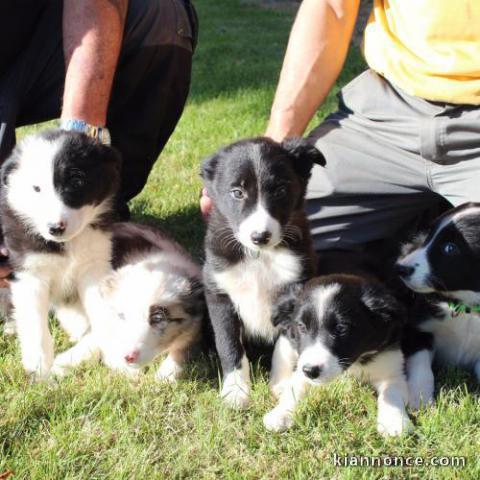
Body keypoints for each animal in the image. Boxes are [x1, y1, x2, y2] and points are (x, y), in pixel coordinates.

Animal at [51, 222, 205, 382]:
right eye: (122, 316)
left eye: (158, 318)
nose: (128, 357)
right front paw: (62, 365)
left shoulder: (196, 325)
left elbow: (183, 347)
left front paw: (168, 373)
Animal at [201, 136, 324, 408]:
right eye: (237, 193)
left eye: (280, 191)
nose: (260, 236)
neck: (260, 256)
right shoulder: (219, 295)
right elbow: (229, 344)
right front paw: (235, 391)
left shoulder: (294, 294)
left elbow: (284, 346)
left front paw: (280, 385)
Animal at [262, 276, 412, 436]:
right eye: (301, 326)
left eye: (341, 328)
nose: (311, 371)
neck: (354, 363)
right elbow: (295, 389)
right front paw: (281, 414)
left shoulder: (392, 368)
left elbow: (391, 392)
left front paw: (394, 422)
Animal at [396, 202, 480, 408]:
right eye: (428, 237)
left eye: (450, 248)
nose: (400, 268)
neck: (466, 307)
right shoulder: (417, 328)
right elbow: (422, 367)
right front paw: (419, 398)